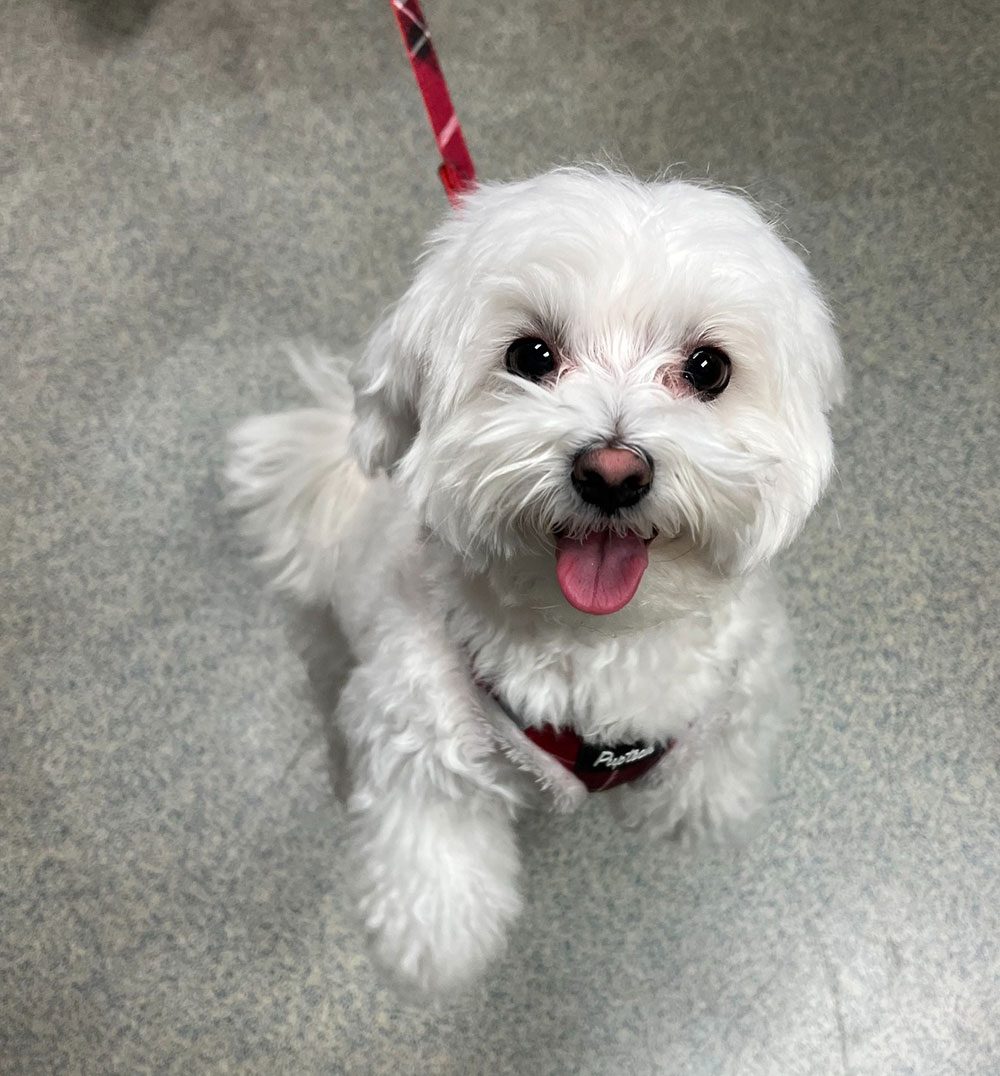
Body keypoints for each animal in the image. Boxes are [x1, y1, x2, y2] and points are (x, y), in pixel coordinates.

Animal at [226, 165, 843, 989]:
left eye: (708, 368)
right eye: (531, 357)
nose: (612, 472)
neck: (600, 637)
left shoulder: (747, 673)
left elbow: (723, 744)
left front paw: (703, 803)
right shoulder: (419, 720)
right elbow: (432, 833)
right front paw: (438, 937)